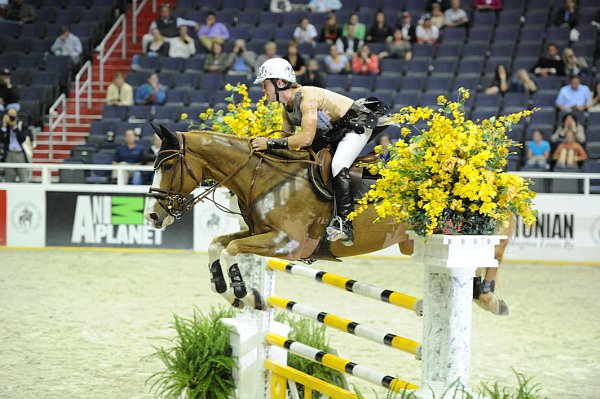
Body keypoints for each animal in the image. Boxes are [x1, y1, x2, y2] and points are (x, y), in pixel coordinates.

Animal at [144, 125, 510, 316]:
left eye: (168, 165)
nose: (152, 215)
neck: (263, 176)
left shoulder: (287, 243)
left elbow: (231, 250)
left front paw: (242, 293)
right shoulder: (258, 233)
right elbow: (216, 245)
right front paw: (227, 290)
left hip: (452, 224)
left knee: (496, 243)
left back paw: (490, 298)